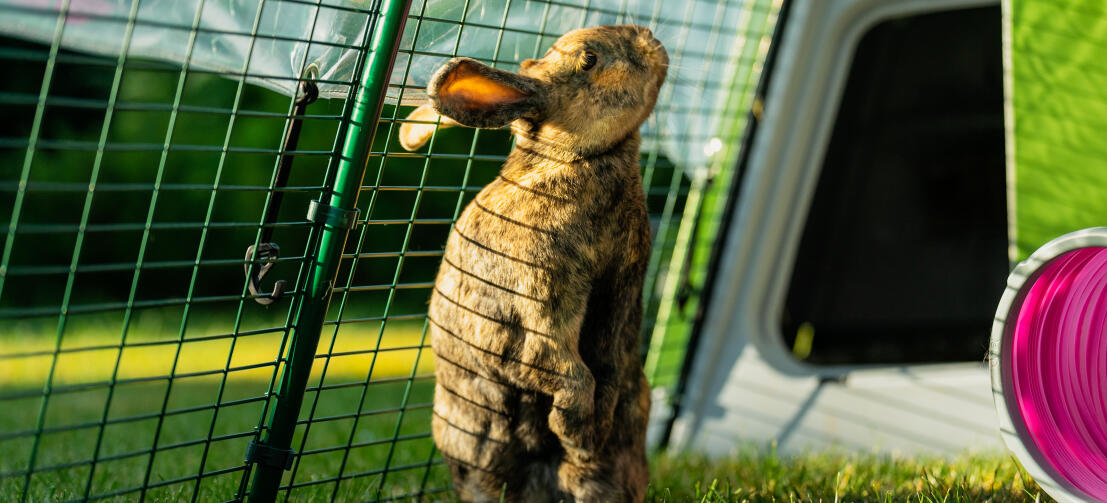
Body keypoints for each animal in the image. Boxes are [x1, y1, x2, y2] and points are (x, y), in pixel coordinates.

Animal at [398, 24, 668, 502]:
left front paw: (584, 436)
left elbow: (598, 372)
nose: (650, 38)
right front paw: (577, 433)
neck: (576, 158)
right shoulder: (538, 305)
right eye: (588, 59)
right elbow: (564, 370)